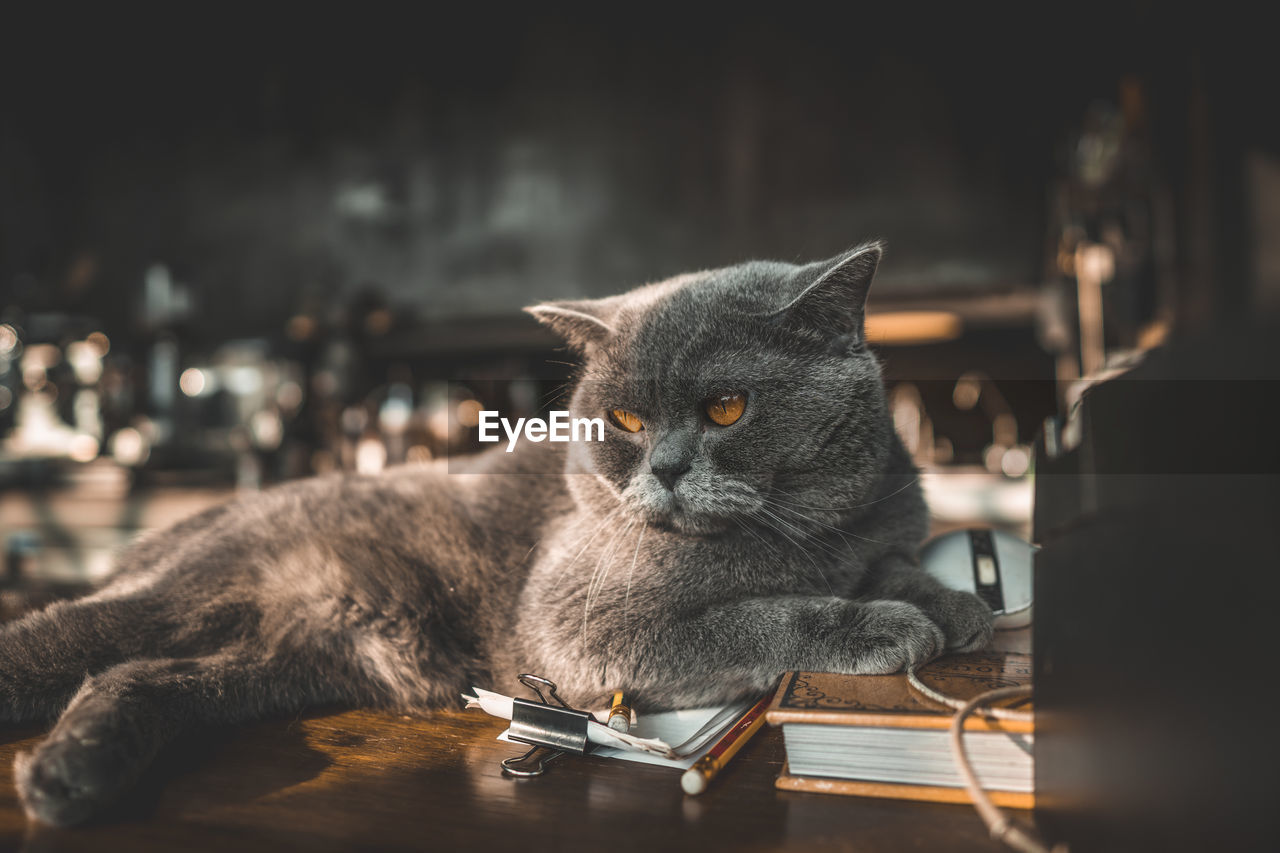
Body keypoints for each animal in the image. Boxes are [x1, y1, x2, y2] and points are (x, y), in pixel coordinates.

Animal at [0, 240, 988, 824]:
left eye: (726, 406)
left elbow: (896, 557)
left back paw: (76, 772)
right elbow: (763, 614)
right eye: (626, 419)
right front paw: (885, 624)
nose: (666, 468)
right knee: (68, 644)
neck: (809, 525)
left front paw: (960, 603)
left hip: (273, 661)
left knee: (139, 674)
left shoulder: (880, 522)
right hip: (187, 593)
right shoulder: (583, 617)